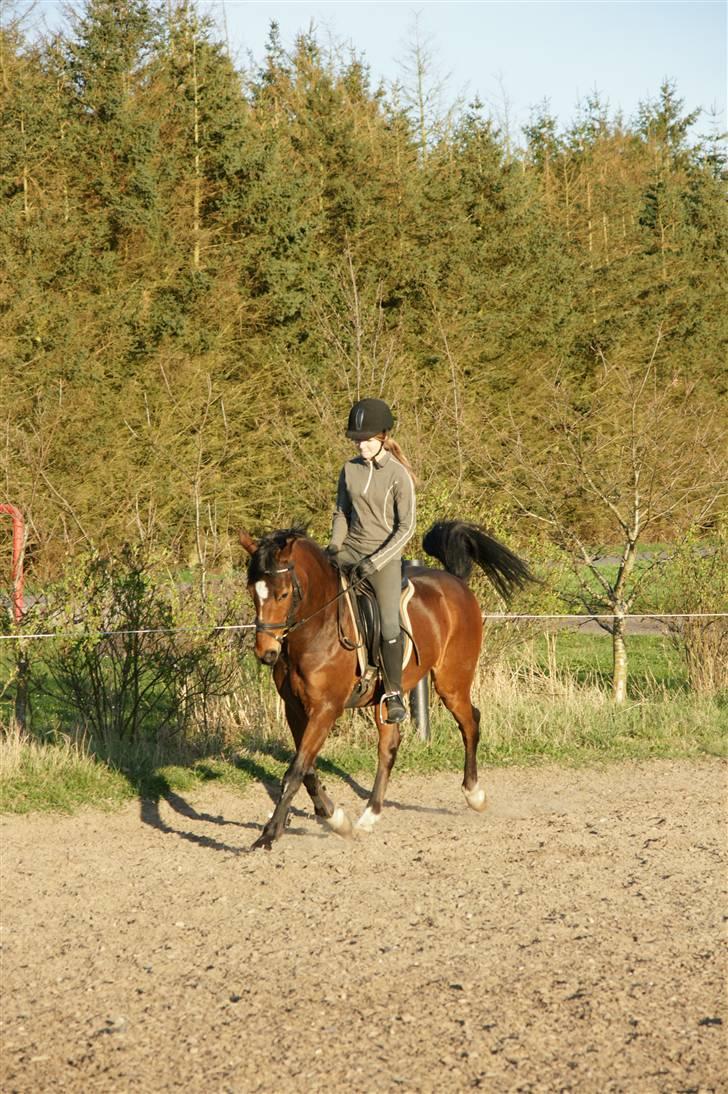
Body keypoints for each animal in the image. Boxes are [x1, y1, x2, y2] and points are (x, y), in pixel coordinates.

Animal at [238, 520, 533, 850]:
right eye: (252, 591)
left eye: (284, 594)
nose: (265, 653)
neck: (316, 629)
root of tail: (456, 583)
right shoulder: (295, 710)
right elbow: (308, 770)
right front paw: (335, 818)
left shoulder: (326, 709)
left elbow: (296, 770)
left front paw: (269, 833)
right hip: (390, 695)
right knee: (389, 745)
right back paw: (370, 815)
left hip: (452, 682)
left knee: (470, 723)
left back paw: (474, 795)